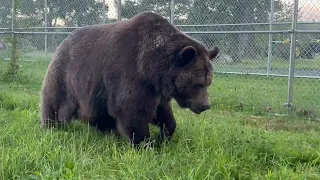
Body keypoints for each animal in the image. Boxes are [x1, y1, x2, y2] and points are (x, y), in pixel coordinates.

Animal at [39, 10, 220, 146]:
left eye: (208, 82)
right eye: (197, 84)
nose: (205, 105)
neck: (152, 68)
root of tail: (63, 41)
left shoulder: (156, 90)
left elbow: (162, 112)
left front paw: (164, 135)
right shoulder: (129, 73)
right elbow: (132, 109)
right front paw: (145, 143)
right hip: (66, 75)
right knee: (54, 102)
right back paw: (51, 126)